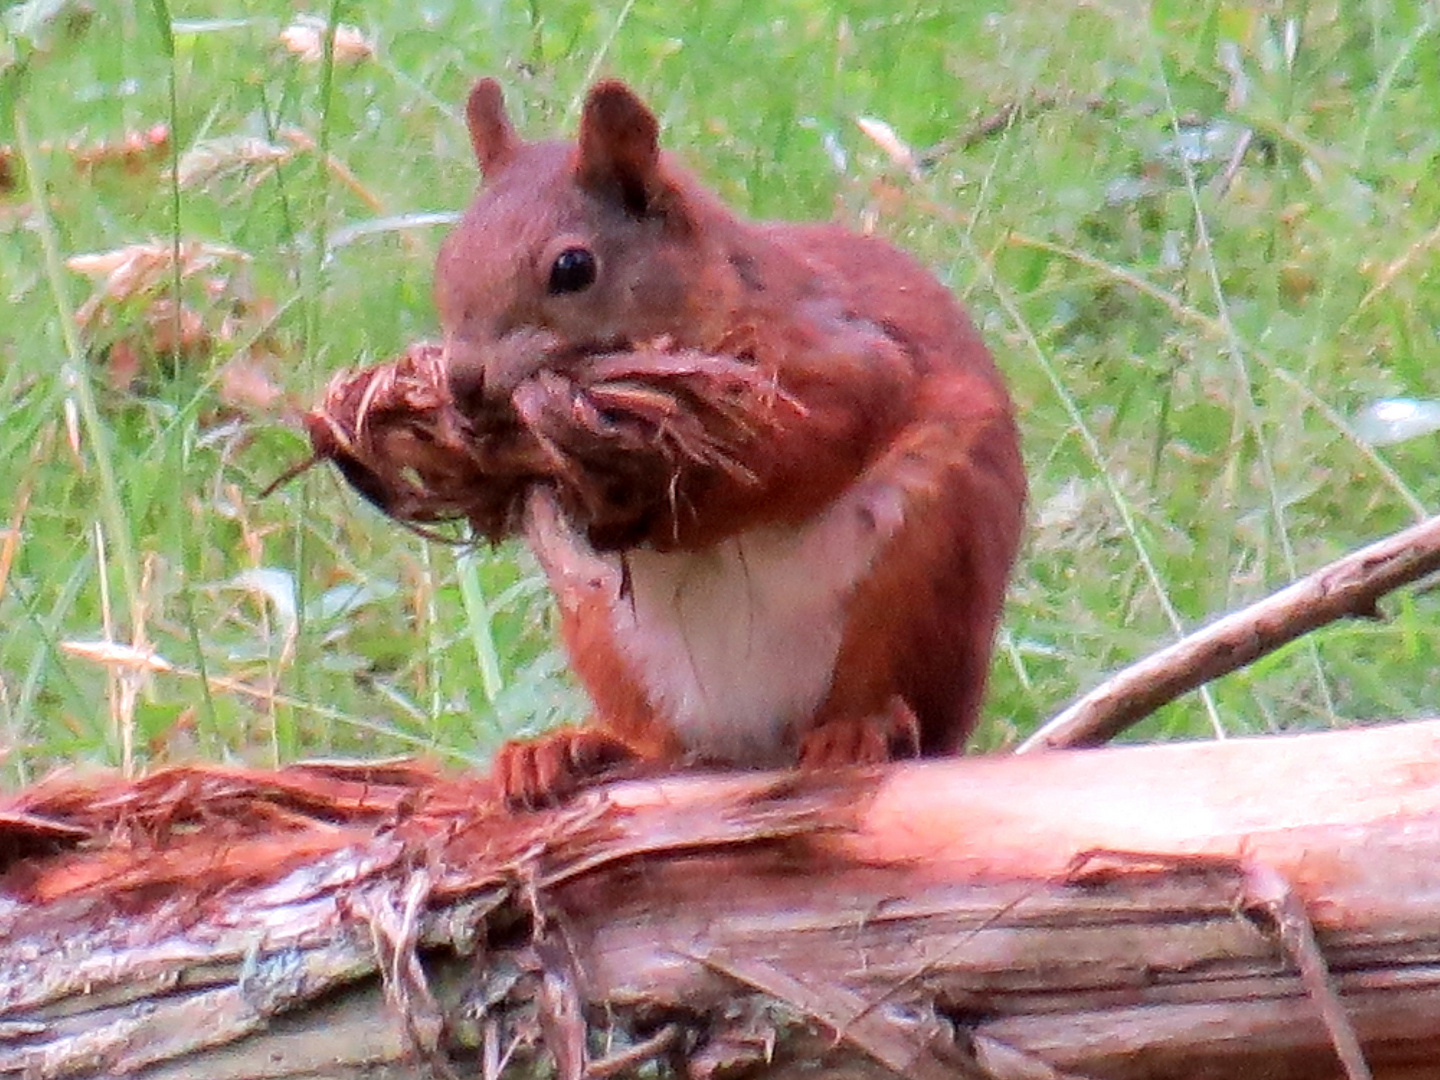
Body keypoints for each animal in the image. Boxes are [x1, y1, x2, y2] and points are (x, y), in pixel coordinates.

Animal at [432, 80, 1031, 806]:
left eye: (573, 268)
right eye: (448, 258)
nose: (463, 385)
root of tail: (752, 744)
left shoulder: (844, 363)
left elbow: (802, 450)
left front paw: (660, 509)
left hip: (923, 575)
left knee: (888, 694)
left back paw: (860, 730)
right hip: (604, 630)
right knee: (657, 745)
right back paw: (565, 751)